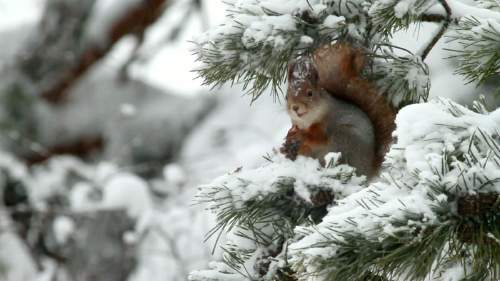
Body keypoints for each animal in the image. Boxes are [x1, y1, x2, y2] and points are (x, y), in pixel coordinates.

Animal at [284, 42, 396, 177]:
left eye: (310, 93)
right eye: (286, 96)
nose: (295, 107)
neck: (306, 121)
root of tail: (367, 170)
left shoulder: (325, 125)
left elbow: (317, 139)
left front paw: (300, 135)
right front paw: (290, 134)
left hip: (343, 137)